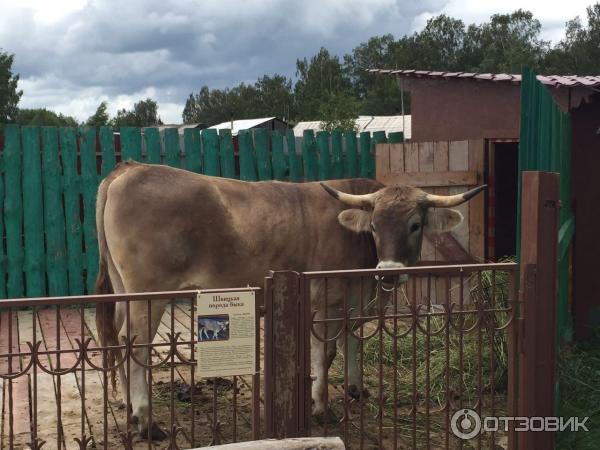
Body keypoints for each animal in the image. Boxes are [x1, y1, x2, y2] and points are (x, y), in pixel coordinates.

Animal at [95, 162, 488, 440]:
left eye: (414, 225)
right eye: (374, 225)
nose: (389, 272)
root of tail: (130, 167)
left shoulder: (354, 300)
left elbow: (352, 341)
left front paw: (356, 388)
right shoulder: (327, 301)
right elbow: (325, 353)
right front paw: (321, 406)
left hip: (124, 291)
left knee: (119, 341)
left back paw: (129, 406)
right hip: (148, 295)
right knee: (136, 345)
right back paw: (146, 421)